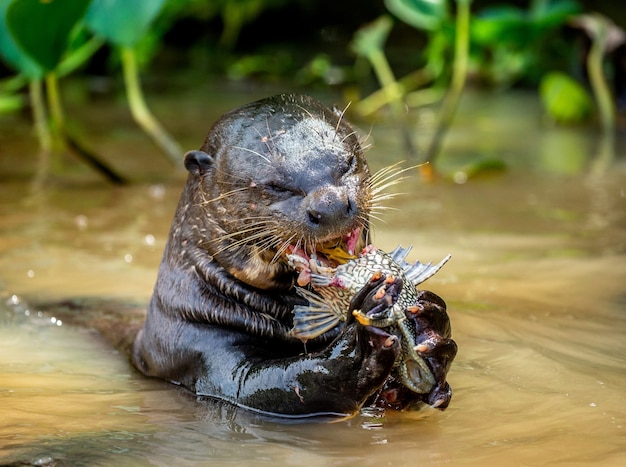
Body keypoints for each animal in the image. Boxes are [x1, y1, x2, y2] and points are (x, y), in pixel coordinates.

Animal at [133, 94, 454, 416]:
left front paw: (433, 327)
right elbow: (264, 384)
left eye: (347, 163)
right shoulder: (198, 347)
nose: (330, 205)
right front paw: (357, 348)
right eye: (276, 185)